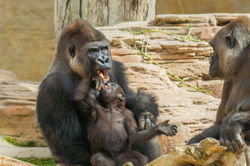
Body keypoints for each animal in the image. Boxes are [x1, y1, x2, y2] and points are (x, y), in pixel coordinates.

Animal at [36, 19, 161, 166]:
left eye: (104, 48)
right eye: (93, 51)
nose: (104, 59)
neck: (71, 67)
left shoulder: (115, 67)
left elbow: (130, 98)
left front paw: (145, 113)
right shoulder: (51, 86)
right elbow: (68, 141)